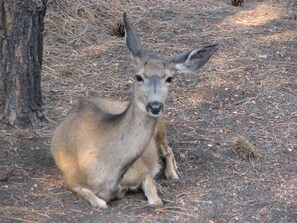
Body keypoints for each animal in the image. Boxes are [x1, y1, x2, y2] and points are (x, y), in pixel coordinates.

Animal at [50, 12, 217, 209]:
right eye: (138, 76)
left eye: (169, 78)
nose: (155, 106)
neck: (108, 170)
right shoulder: (70, 178)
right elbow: (99, 202)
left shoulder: (142, 170)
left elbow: (156, 200)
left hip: (160, 128)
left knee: (168, 149)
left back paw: (172, 173)